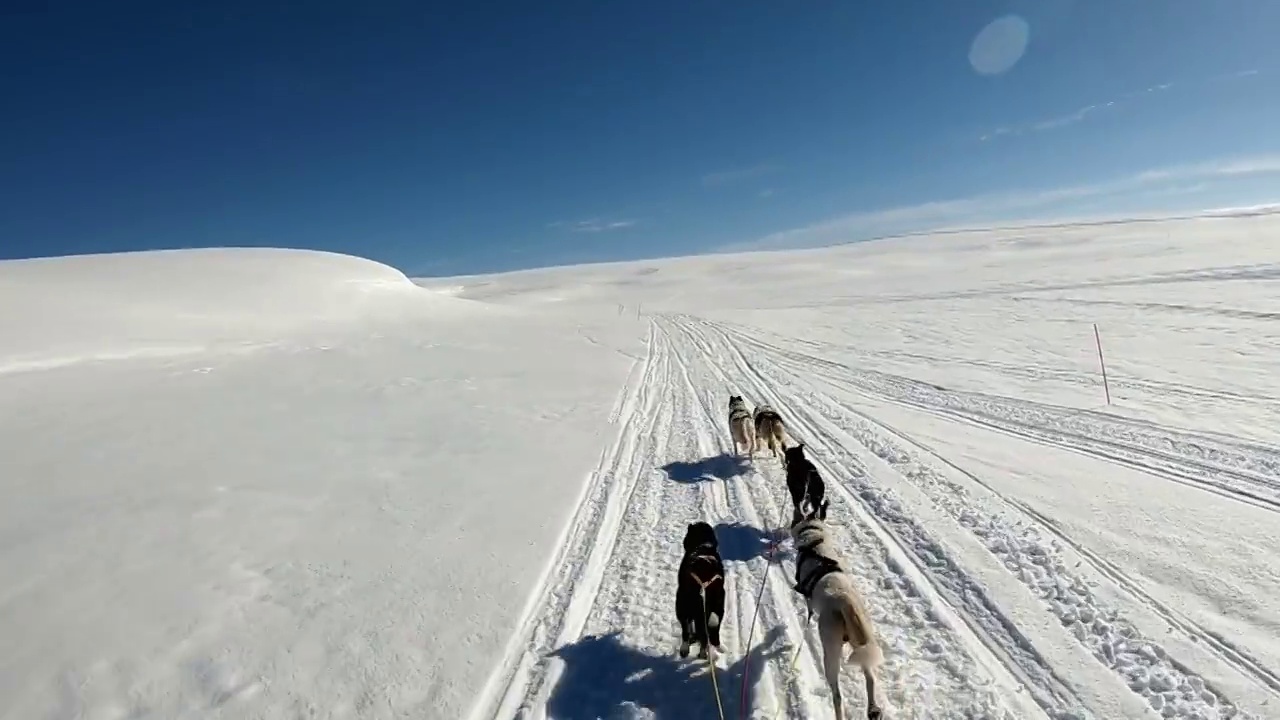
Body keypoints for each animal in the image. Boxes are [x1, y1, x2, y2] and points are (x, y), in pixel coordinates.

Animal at [675, 517, 727, 661]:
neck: (703, 545)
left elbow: (689, 628)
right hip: (718, 610)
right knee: (710, 635)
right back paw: (705, 652)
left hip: (681, 606)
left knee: (686, 632)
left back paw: (685, 649)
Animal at [788, 512, 880, 712]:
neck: (814, 540)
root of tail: (843, 600)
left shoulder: (806, 597)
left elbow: (808, 608)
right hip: (862, 641)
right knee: (870, 677)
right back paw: (873, 710)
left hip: (830, 650)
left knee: (837, 694)